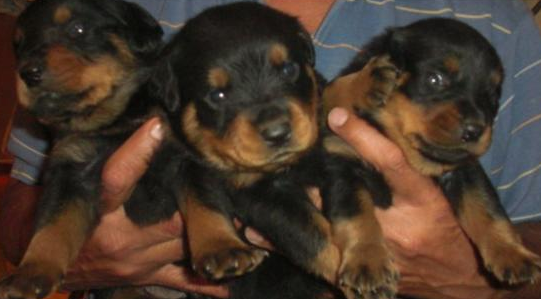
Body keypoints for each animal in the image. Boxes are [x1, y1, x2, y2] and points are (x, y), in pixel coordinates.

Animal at [0, 0, 186, 299]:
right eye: (20, 45)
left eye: (78, 28)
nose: (27, 73)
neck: (113, 118)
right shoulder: (71, 168)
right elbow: (53, 224)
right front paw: (30, 274)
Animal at [156, 2, 396, 299]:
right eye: (217, 95)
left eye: (288, 69)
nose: (277, 133)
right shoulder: (260, 194)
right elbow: (312, 236)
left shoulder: (334, 153)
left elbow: (325, 96)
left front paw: (362, 83)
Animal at [320, 16, 540, 288]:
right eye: (435, 79)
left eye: (492, 95)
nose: (475, 130)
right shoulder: (343, 163)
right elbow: (355, 215)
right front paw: (368, 261)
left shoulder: (464, 171)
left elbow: (487, 208)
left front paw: (512, 254)